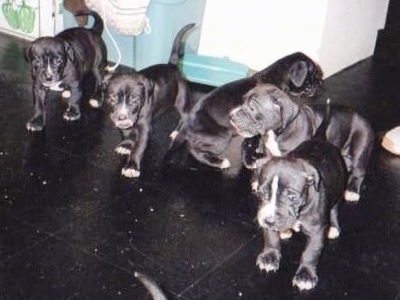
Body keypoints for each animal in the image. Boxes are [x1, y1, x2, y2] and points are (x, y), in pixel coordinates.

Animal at [104, 24, 195, 178]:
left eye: (135, 99)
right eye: (112, 98)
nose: (122, 117)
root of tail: (172, 66)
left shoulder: (144, 126)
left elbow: (139, 146)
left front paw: (132, 166)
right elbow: (126, 132)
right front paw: (126, 144)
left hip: (182, 100)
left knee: (185, 116)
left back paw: (178, 132)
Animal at [230, 83, 374, 202]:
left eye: (252, 107)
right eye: (242, 101)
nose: (231, 116)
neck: (276, 132)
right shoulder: (268, 152)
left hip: (361, 145)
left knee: (359, 170)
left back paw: (352, 191)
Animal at [256, 109, 346, 292]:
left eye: (292, 197)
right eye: (262, 193)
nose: (269, 220)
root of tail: (320, 139)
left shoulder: (317, 230)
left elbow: (310, 253)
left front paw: (305, 276)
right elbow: (270, 237)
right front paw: (269, 256)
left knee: (334, 208)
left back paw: (333, 226)